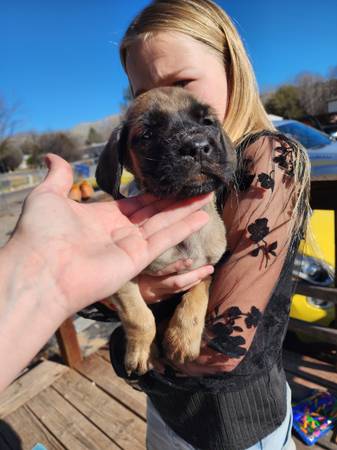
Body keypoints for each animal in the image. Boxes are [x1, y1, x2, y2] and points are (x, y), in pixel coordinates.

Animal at [96, 86, 235, 374]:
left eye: (208, 122)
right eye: (147, 135)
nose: (197, 147)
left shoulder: (205, 269)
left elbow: (195, 299)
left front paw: (182, 340)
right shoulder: (122, 279)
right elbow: (140, 317)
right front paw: (142, 353)